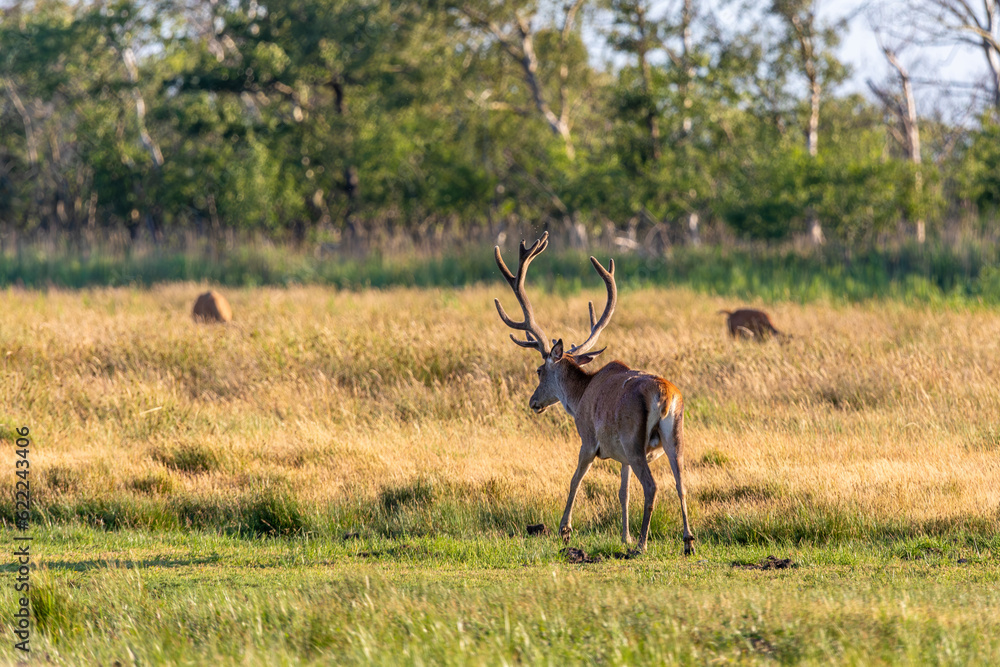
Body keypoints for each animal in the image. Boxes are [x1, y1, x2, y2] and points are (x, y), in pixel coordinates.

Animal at [494, 232, 695, 555]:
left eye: (538, 370)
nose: (533, 402)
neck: (579, 396)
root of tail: (665, 394)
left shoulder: (588, 438)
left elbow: (575, 479)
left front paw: (564, 530)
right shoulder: (622, 455)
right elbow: (623, 491)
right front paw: (624, 536)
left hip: (634, 438)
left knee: (652, 486)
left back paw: (642, 544)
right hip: (674, 436)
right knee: (682, 483)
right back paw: (687, 542)